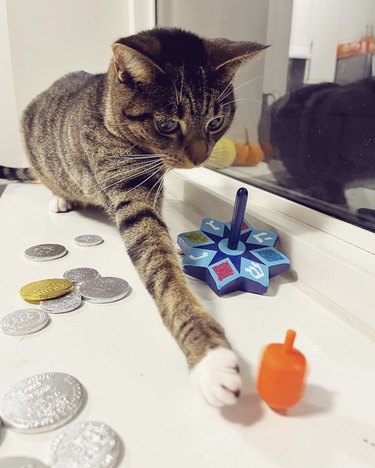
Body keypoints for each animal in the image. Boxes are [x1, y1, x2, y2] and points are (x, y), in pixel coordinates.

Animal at [0, 27, 266, 406]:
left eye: (216, 122)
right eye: (167, 124)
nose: (200, 158)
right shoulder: (131, 196)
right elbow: (163, 272)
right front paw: (210, 357)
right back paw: (59, 197)